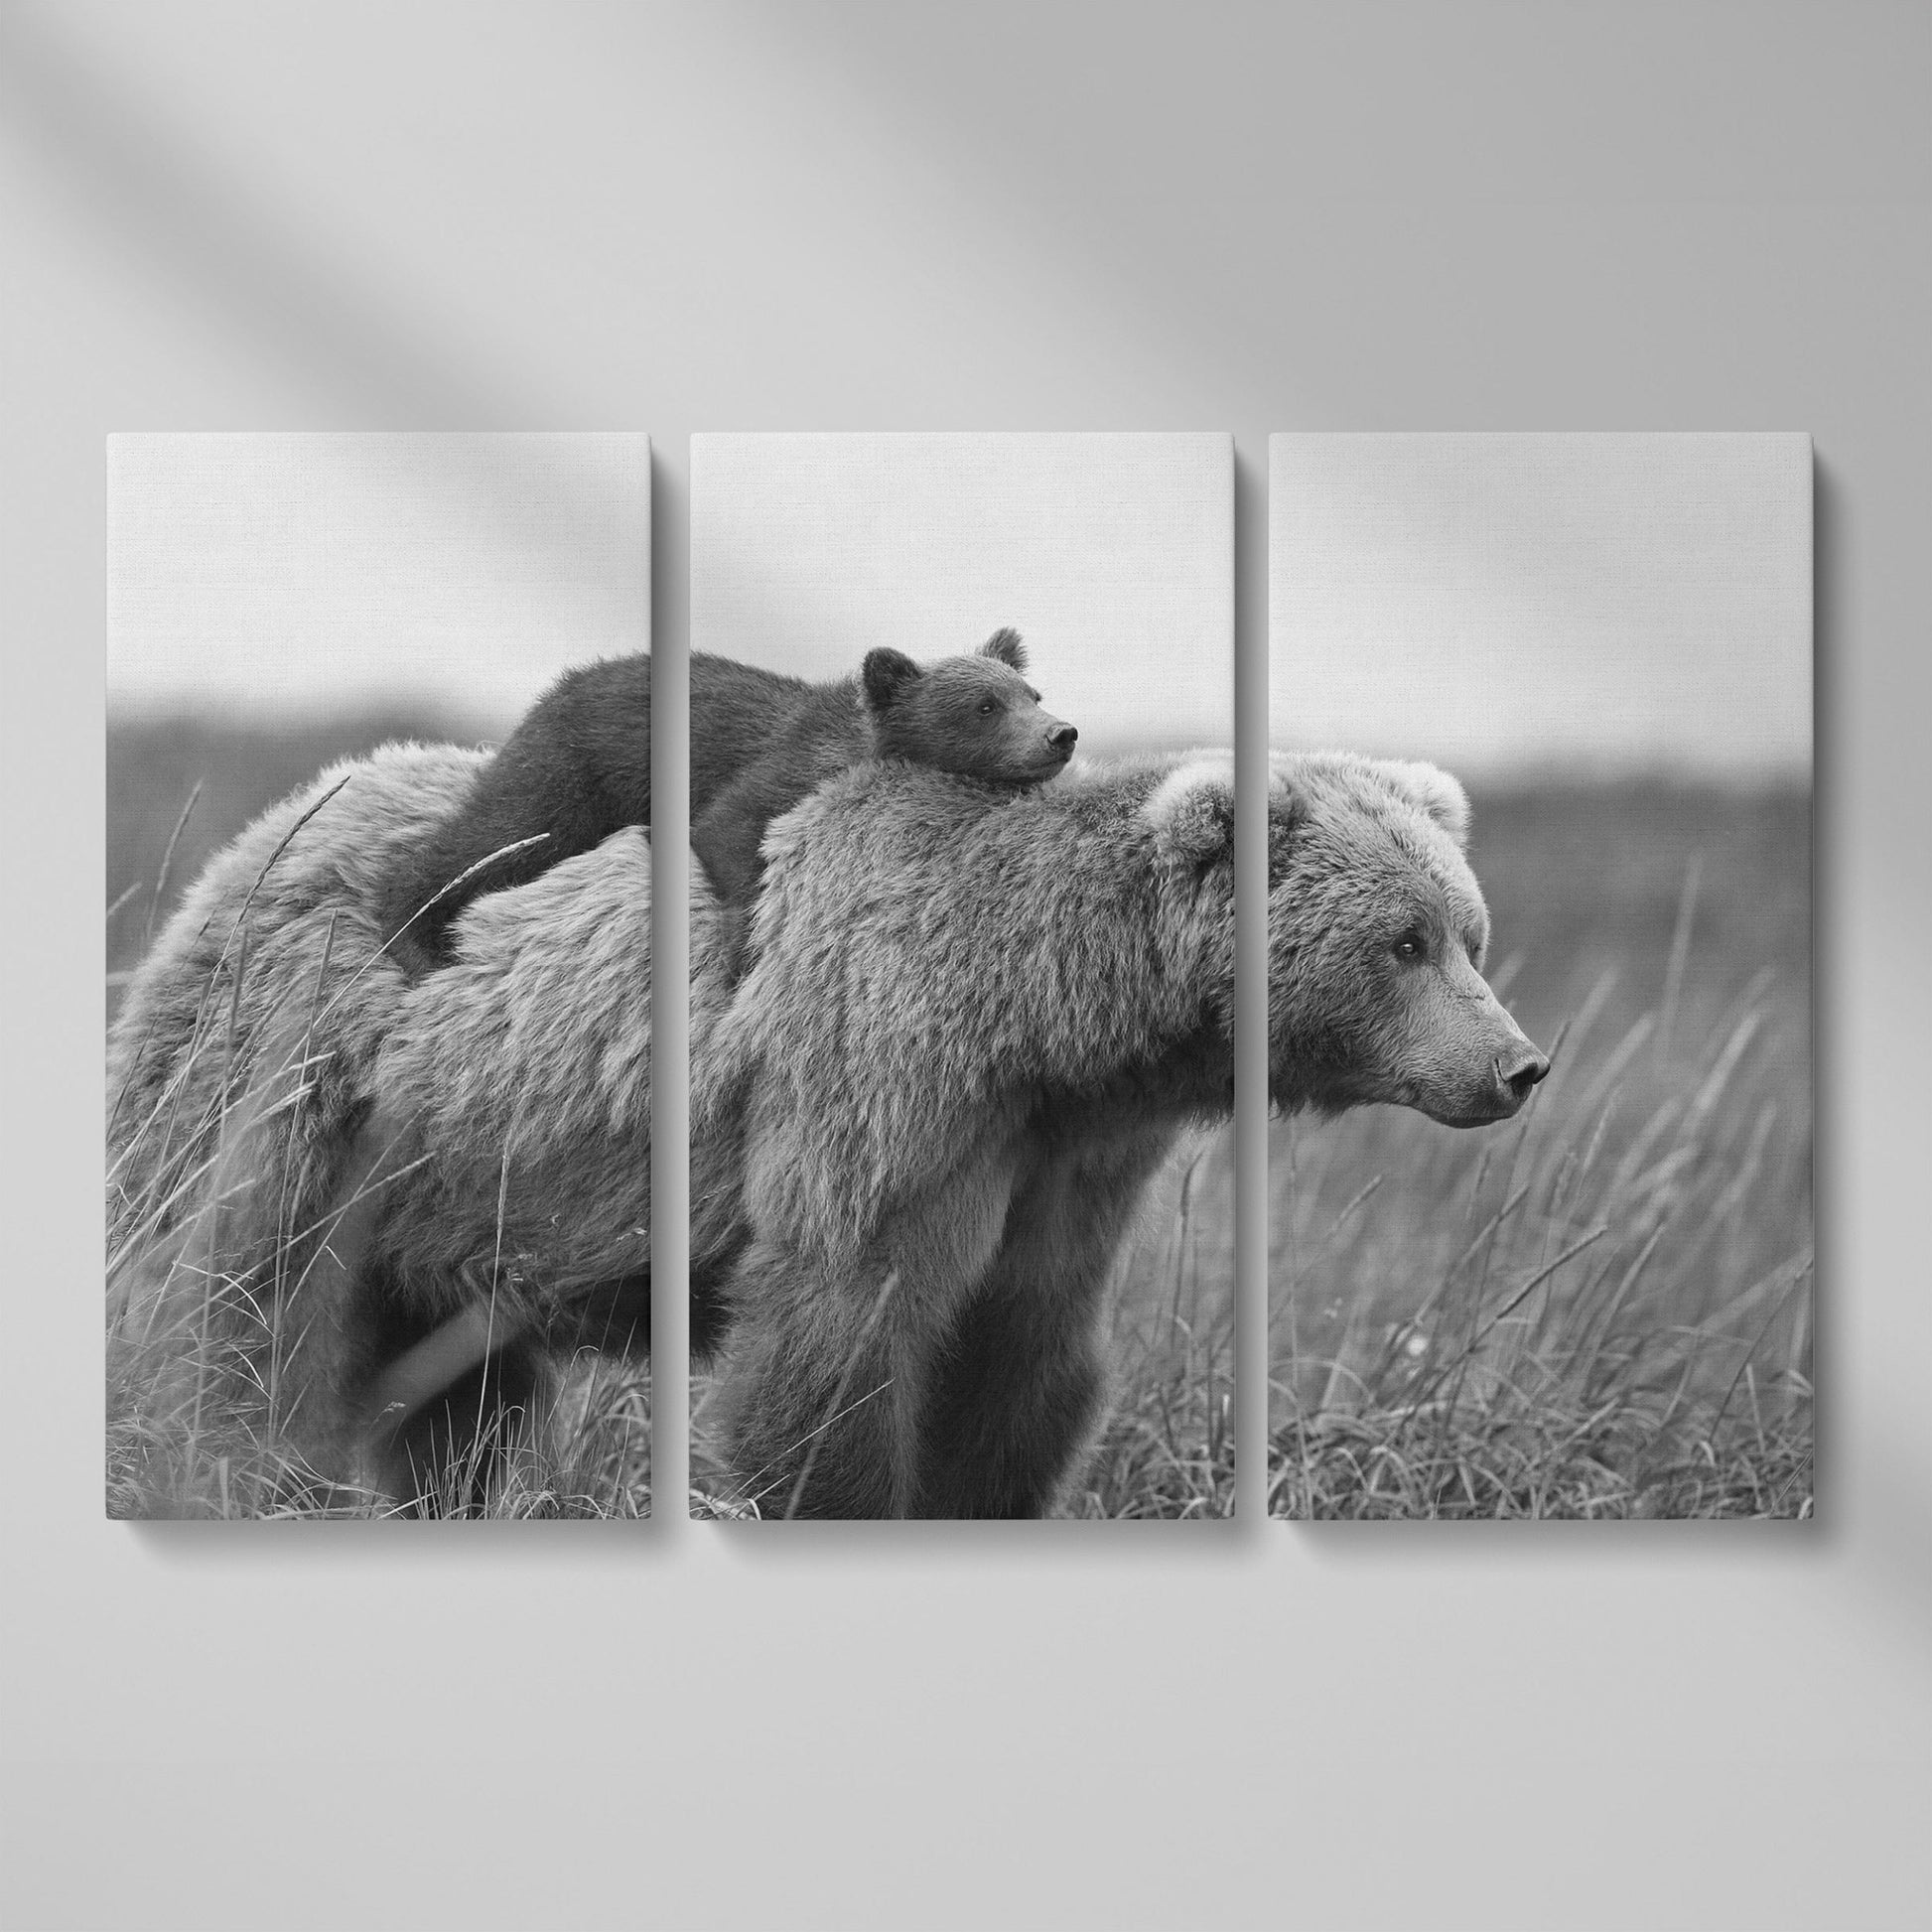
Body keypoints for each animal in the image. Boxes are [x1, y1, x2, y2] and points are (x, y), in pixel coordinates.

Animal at [374, 628, 1077, 972]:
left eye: (1032, 692)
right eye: (984, 706)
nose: (1061, 734)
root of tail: (556, 686)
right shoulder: (773, 772)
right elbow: (728, 832)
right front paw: (745, 951)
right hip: (572, 773)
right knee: (495, 838)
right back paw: (414, 939)